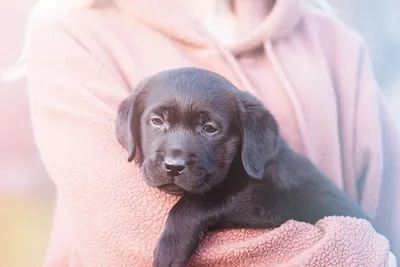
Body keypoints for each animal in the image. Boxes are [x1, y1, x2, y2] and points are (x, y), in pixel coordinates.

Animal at [115, 67, 372, 267]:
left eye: (210, 128)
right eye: (157, 121)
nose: (174, 166)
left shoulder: (265, 198)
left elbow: (198, 202)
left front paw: (169, 250)